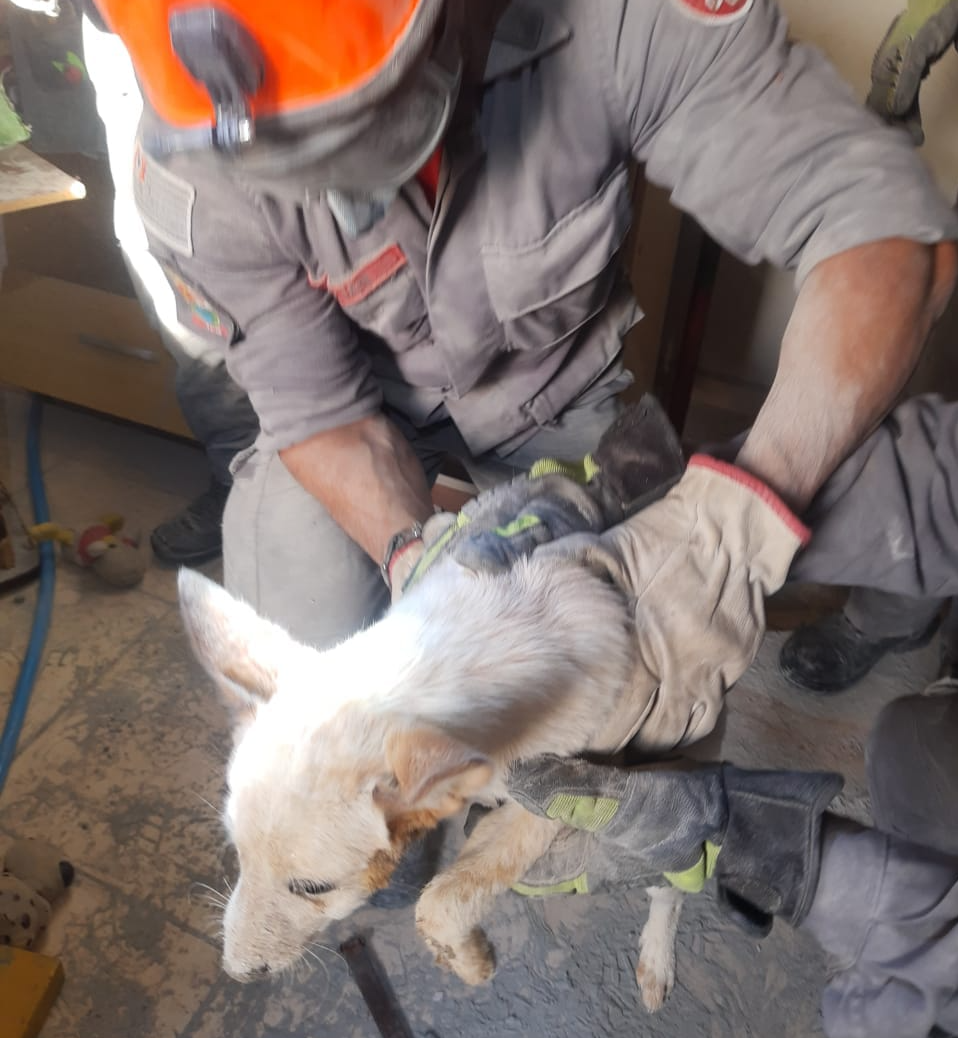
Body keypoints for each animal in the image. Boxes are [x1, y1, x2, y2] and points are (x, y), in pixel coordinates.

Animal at [179, 539, 685, 1008]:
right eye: (238, 855)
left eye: (313, 888)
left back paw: (657, 957)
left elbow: (440, 899)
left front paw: (469, 961)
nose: (237, 971)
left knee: (672, 879)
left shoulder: (551, 797)